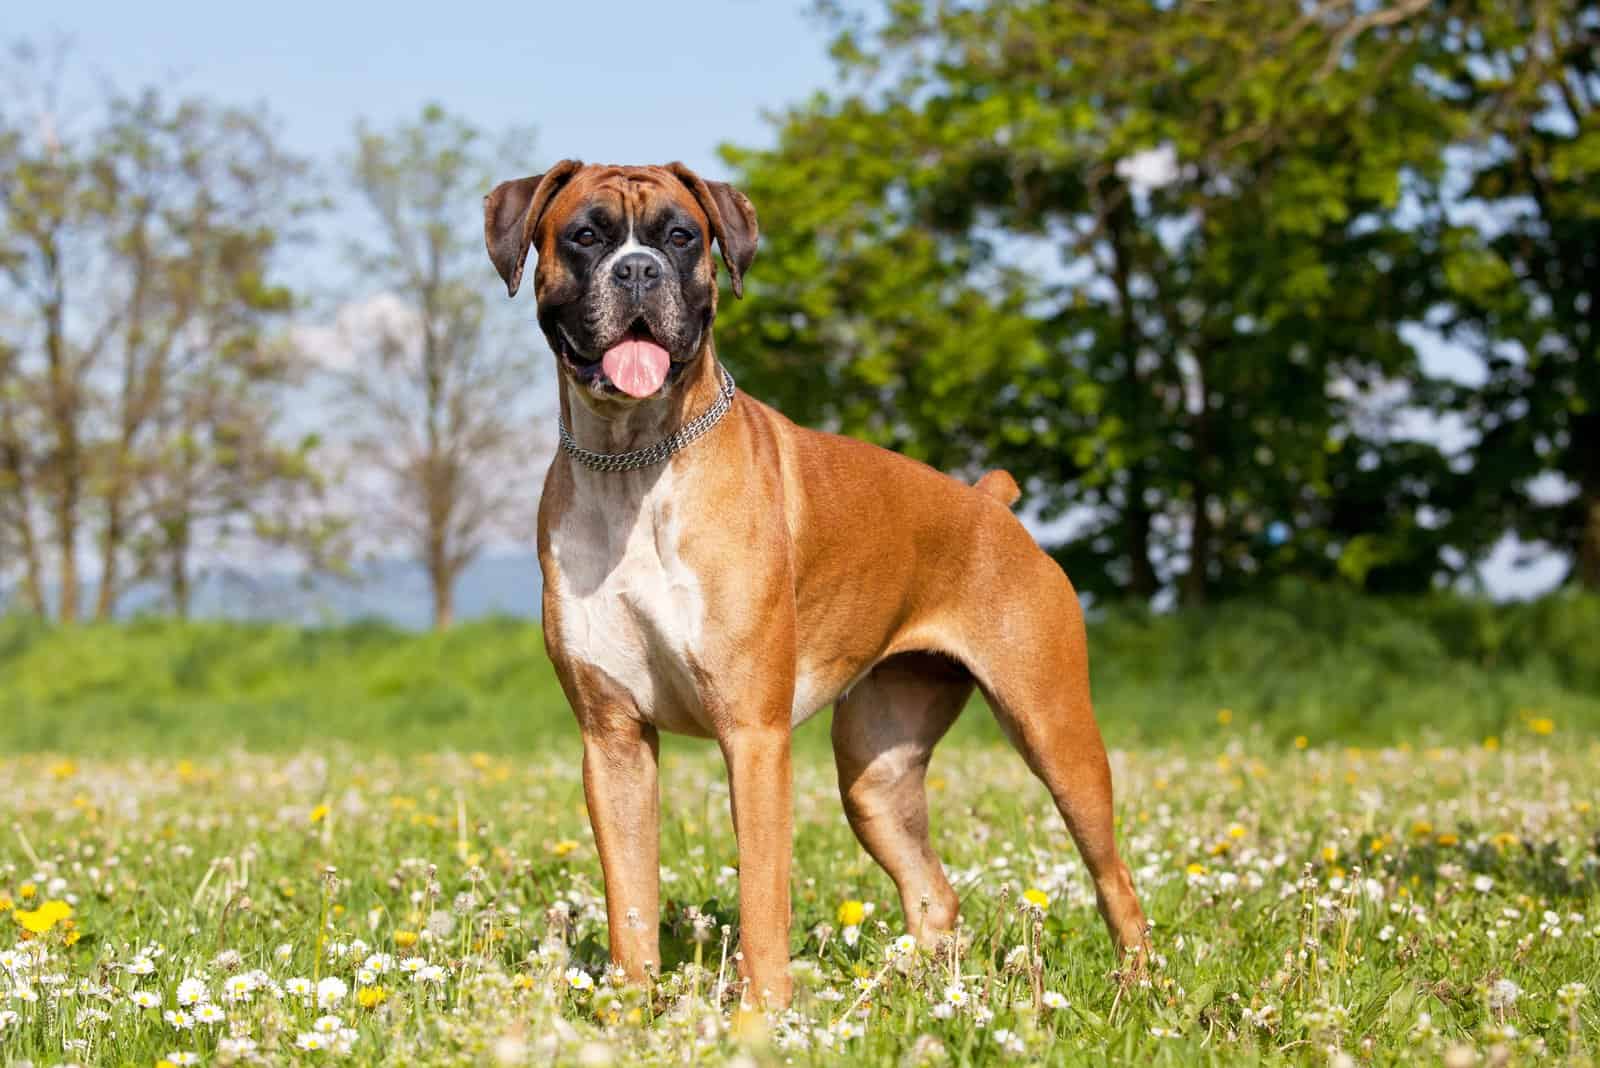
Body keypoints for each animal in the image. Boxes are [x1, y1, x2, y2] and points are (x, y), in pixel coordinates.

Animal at [480, 158, 1145, 1004]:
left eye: (681, 237)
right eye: (586, 236)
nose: (638, 270)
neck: (633, 462)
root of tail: (989, 504)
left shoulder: (754, 739)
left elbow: (763, 898)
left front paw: (762, 1015)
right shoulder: (613, 740)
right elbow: (629, 898)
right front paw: (629, 1009)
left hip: (1055, 734)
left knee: (1114, 878)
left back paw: (1138, 989)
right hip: (874, 775)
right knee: (933, 891)